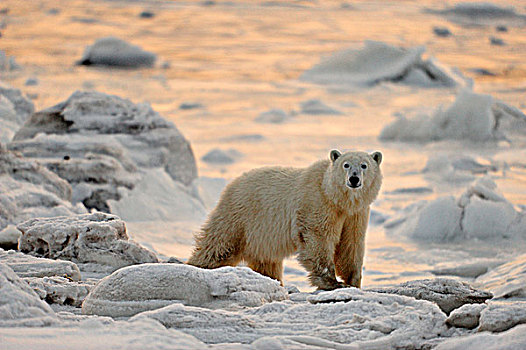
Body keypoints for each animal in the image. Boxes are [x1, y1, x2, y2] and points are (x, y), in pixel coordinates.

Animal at [189, 150, 384, 290]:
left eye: (364, 165)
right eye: (346, 165)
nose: (354, 178)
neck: (335, 198)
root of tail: (231, 185)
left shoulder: (356, 214)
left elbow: (351, 244)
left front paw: (353, 281)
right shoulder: (317, 203)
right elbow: (318, 238)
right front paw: (332, 282)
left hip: (262, 233)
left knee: (266, 260)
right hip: (242, 215)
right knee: (220, 245)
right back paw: (199, 267)